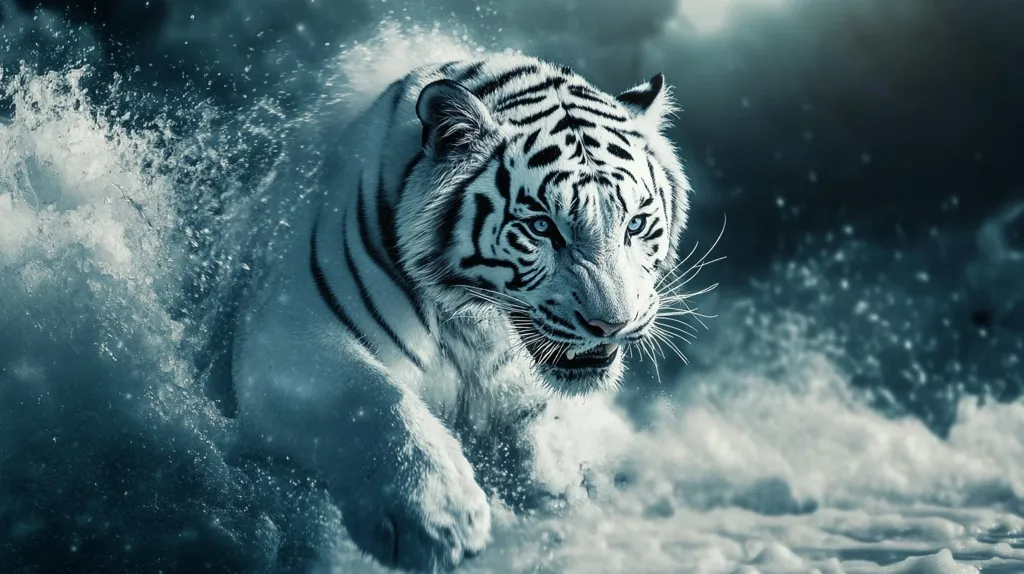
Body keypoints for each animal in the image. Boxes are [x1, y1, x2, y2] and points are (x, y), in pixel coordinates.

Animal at [231, 54, 693, 572]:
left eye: (636, 224)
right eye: (541, 227)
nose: (612, 324)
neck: (478, 323)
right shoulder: (289, 332)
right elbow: (371, 395)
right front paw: (438, 516)